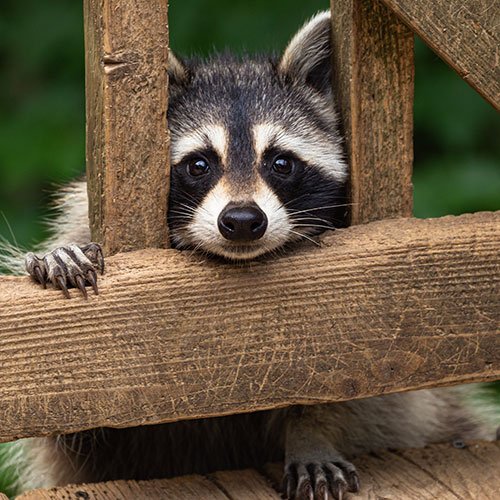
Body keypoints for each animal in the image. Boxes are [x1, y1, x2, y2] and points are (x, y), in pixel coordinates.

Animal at [5, 10, 498, 500]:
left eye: (280, 162)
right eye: (199, 164)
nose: (242, 220)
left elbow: (359, 383)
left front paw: (310, 431)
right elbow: (83, 415)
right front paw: (63, 254)